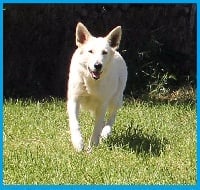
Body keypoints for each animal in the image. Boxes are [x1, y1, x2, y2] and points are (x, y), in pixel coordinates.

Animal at [67, 22, 126, 152]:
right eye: (90, 51)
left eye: (104, 52)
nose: (98, 65)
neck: (91, 83)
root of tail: (116, 52)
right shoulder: (74, 100)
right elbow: (75, 123)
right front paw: (78, 143)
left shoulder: (102, 104)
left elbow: (97, 126)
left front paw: (93, 146)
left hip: (116, 99)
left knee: (111, 117)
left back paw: (106, 132)